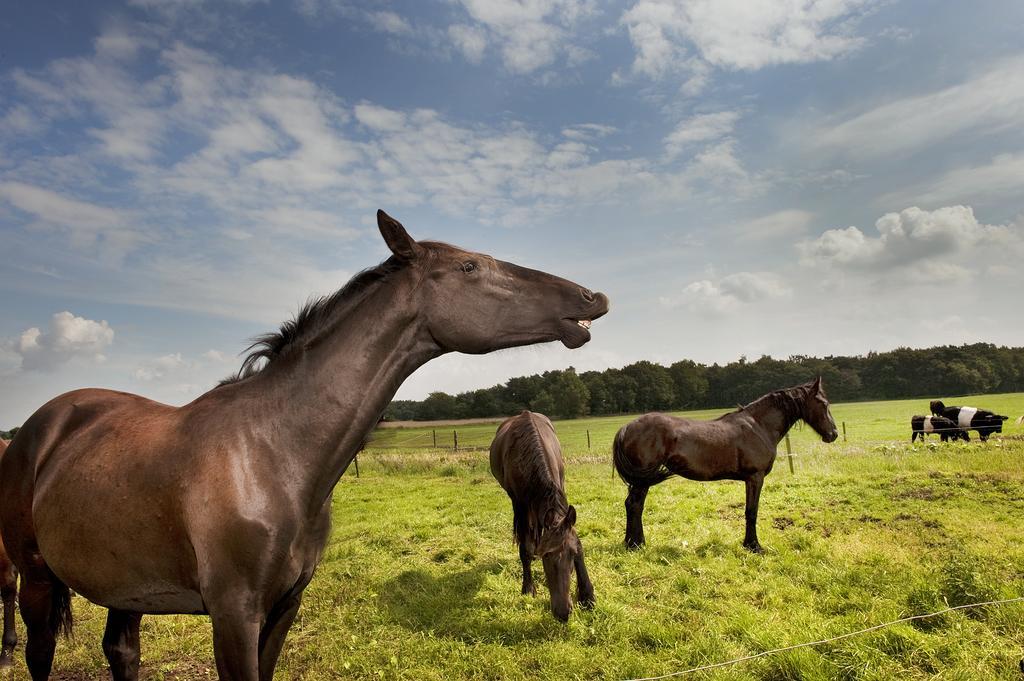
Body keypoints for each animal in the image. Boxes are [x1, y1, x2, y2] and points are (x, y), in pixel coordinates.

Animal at [491, 409, 598, 622]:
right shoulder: (519, 503)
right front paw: (528, 588)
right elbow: (524, 548)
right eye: (546, 556)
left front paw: (587, 596)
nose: (563, 612)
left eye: (573, 555)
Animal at [610, 376, 835, 552]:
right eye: (824, 404)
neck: (759, 426)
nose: (833, 434)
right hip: (641, 480)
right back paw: (635, 544)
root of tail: (626, 427)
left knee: (633, 505)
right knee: (635, 505)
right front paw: (753, 546)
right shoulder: (755, 478)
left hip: (640, 480)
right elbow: (751, 511)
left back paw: (633, 543)